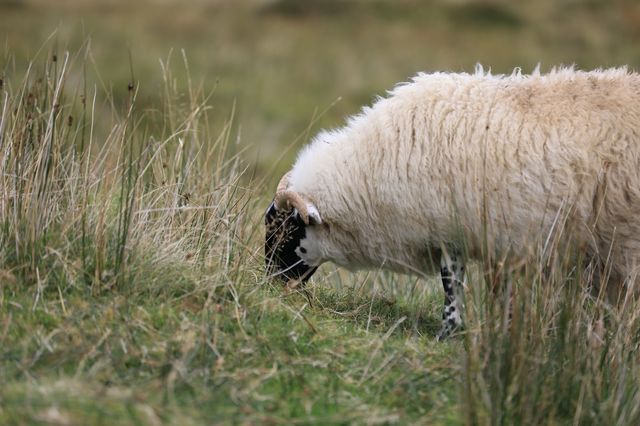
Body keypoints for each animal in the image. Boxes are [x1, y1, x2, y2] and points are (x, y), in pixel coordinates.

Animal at [264, 66, 640, 340]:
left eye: (284, 229)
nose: (267, 283)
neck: (368, 171)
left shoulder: (447, 227)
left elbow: (451, 285)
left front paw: (448, 332)